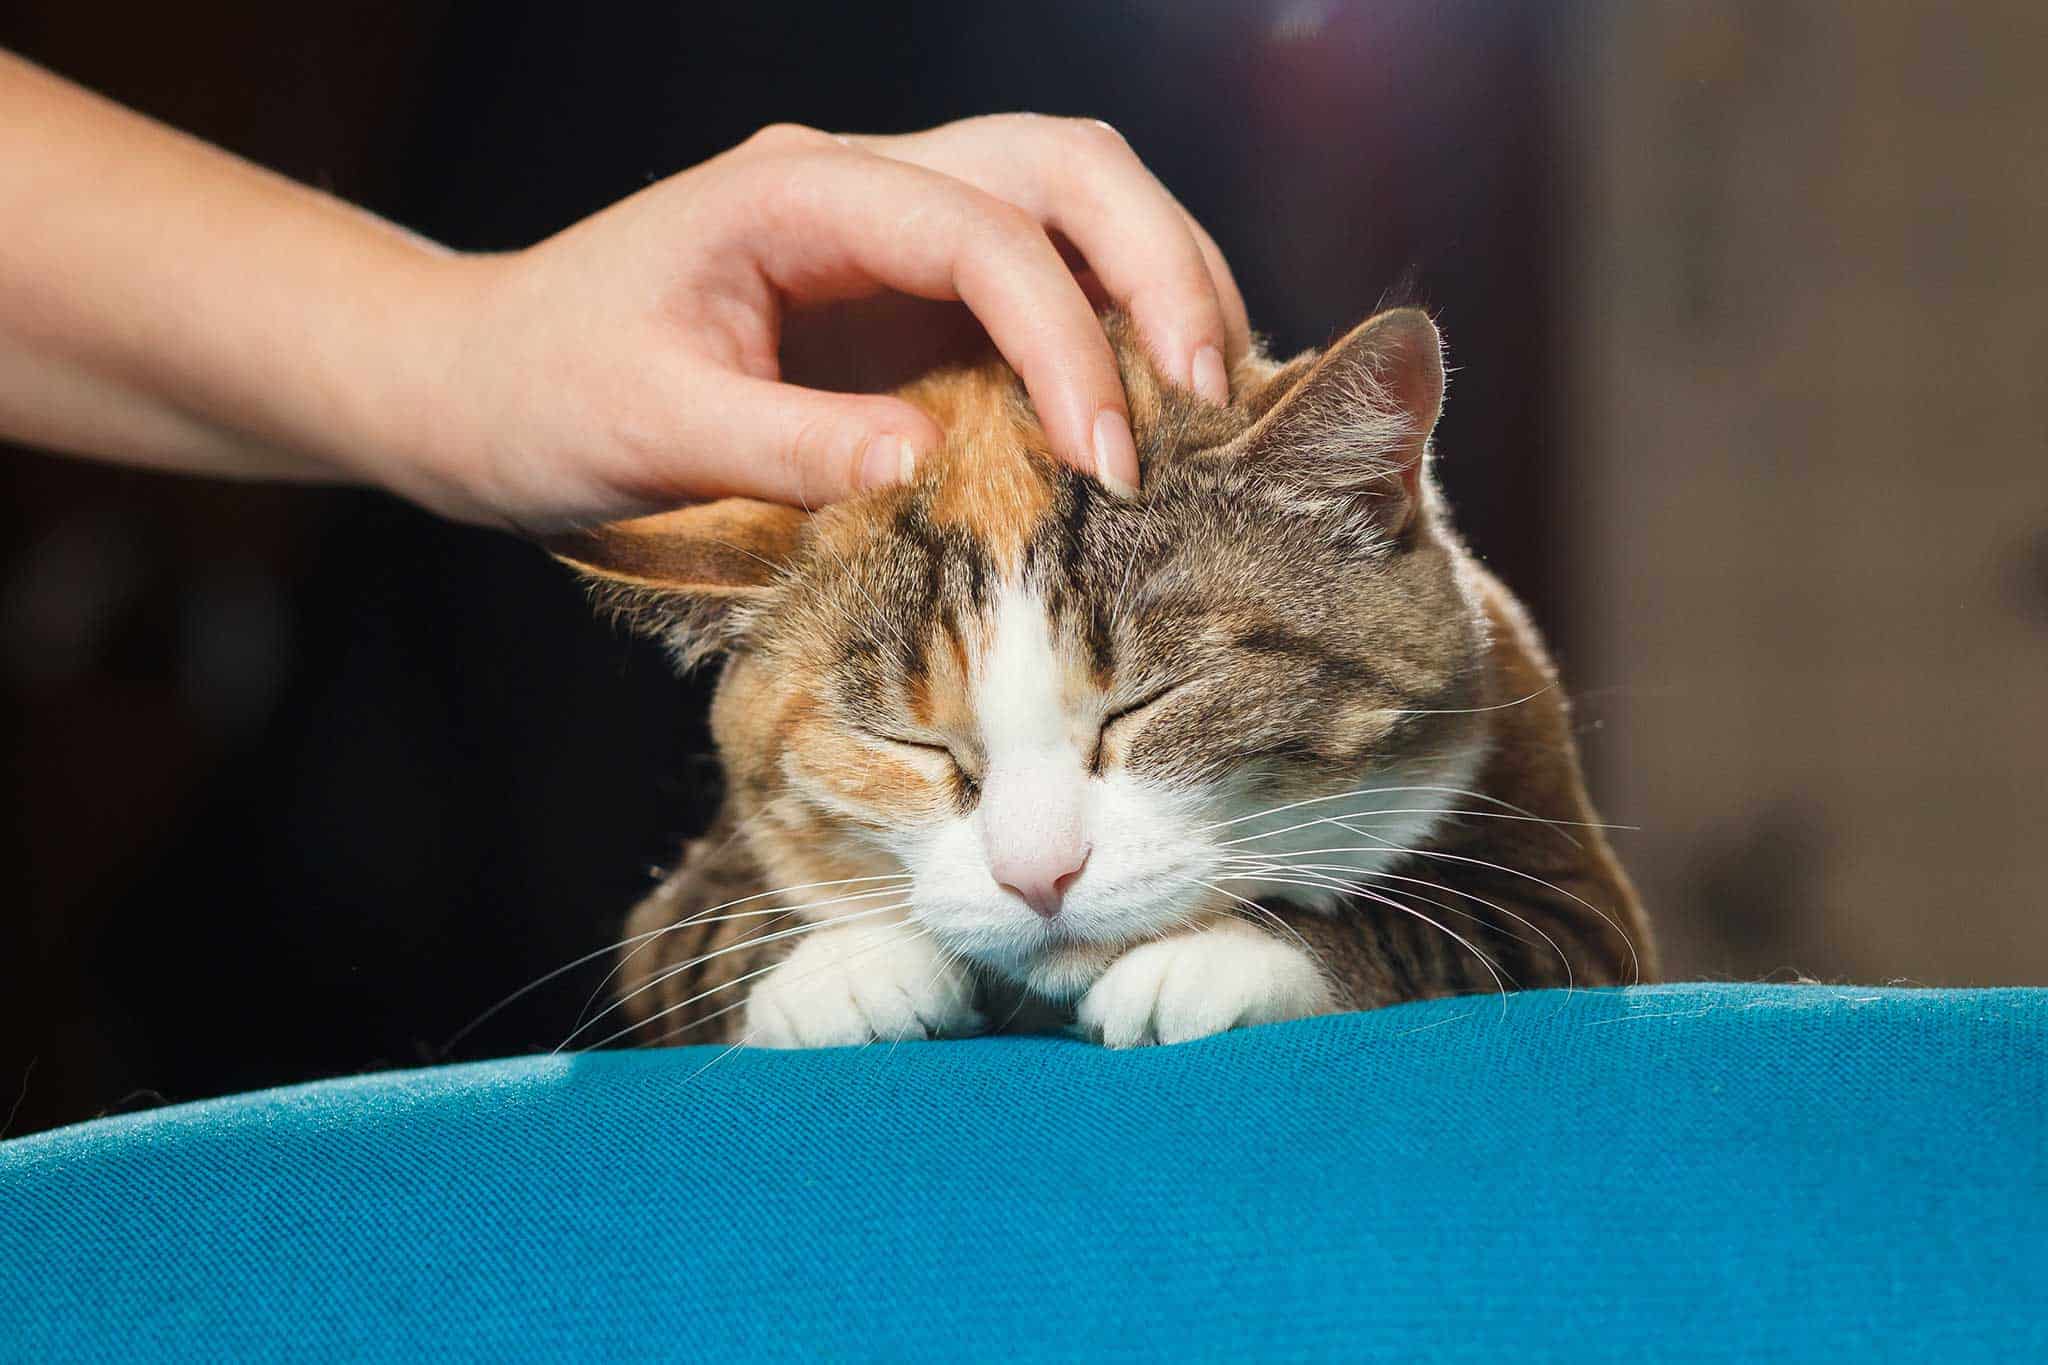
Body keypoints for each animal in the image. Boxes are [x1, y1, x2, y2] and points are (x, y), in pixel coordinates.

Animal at [552, 309, 1654, 1055]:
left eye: (1148, 702)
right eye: (908, 744)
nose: (1037, 876)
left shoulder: (1582, 903)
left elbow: (1452, 929)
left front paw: (1220, 956)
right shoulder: (679, 904)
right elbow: (693, 939)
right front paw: (848, 966)